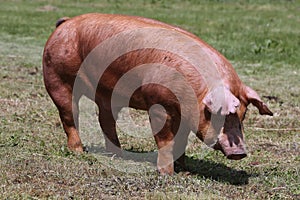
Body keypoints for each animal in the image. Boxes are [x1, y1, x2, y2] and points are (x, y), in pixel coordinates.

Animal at [43, 12, 274, 175]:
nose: (239, 153)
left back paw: (118, 154)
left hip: (106, 93)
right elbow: (165, 141)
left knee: (106, 119)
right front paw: (167, 174)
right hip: (56, 77)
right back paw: (78, 151)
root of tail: (65, 23)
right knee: (69, 116)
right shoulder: (158, 106)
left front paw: (185, 169)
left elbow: (181, 140)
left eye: (243, 115)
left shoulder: (185, 113)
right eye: (216, 114)